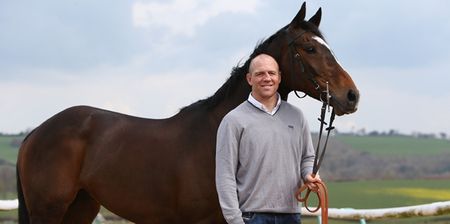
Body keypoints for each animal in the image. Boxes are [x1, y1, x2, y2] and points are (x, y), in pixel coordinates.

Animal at [16, 2, 358, 224]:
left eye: (327, 47)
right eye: (310, 48)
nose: (351, 95)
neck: (213, 136)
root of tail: (35, 134)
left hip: (81, 206)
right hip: (49, 211)